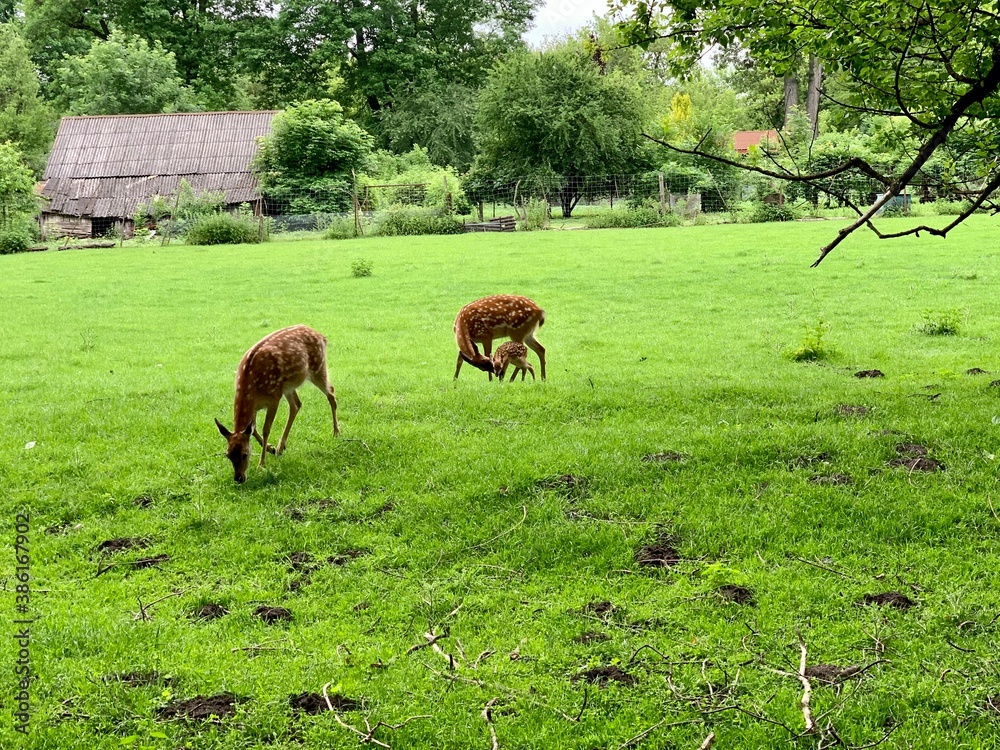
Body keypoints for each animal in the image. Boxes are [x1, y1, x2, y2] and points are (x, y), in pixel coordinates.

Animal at [215, 326, 340, 484]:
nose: (238, 478)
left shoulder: (273, 398)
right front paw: (271, 448)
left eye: (245, 454)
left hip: (318, 368)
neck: (250, 387)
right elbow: (253, 430)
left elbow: (265, 429)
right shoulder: (255, 406)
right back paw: (281, 447)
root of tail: (322, 337)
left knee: (331, 392)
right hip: (288, 386)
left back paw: (336, 432)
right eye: (228, 455)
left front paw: (262, 464)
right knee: (296, 405)